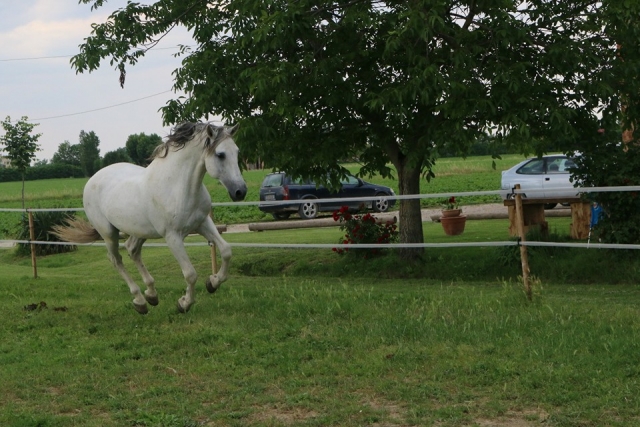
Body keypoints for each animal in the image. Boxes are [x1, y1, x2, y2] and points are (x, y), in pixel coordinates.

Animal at [53, 122, 247, 314]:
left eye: (237, 152)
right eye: (220, 154)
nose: (240, 192)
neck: (177, 186)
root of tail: (92, 179)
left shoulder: (202, 223)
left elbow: (226, 251)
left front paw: (212, 283)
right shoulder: (172, 237)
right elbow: (190, 274)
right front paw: (184, 303)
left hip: (139, 231)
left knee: (132, 250)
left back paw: (152, 295)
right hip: (109, 234)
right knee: (116, 260)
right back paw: (140, 301)